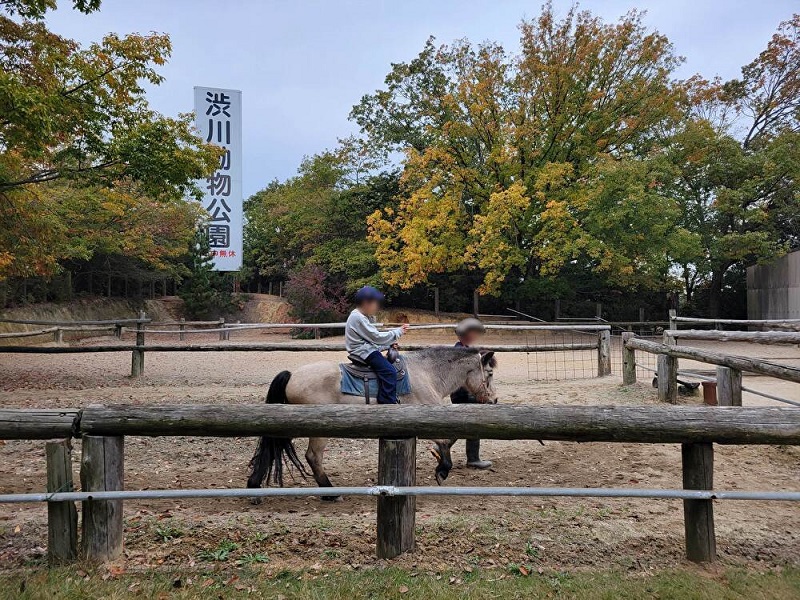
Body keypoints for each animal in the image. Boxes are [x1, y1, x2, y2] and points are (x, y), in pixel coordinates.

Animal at [246, 346, 498, 501]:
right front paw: (442, 469)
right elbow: (447, 440)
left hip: (290, 421)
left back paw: (254, 486)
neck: (427, 374)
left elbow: (450, 438)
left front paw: (438, 459)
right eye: (490, 373)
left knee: (272, 447)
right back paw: (330, 492)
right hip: (316, 428)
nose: (494, 400)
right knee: (312, 457)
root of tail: (292, 375)